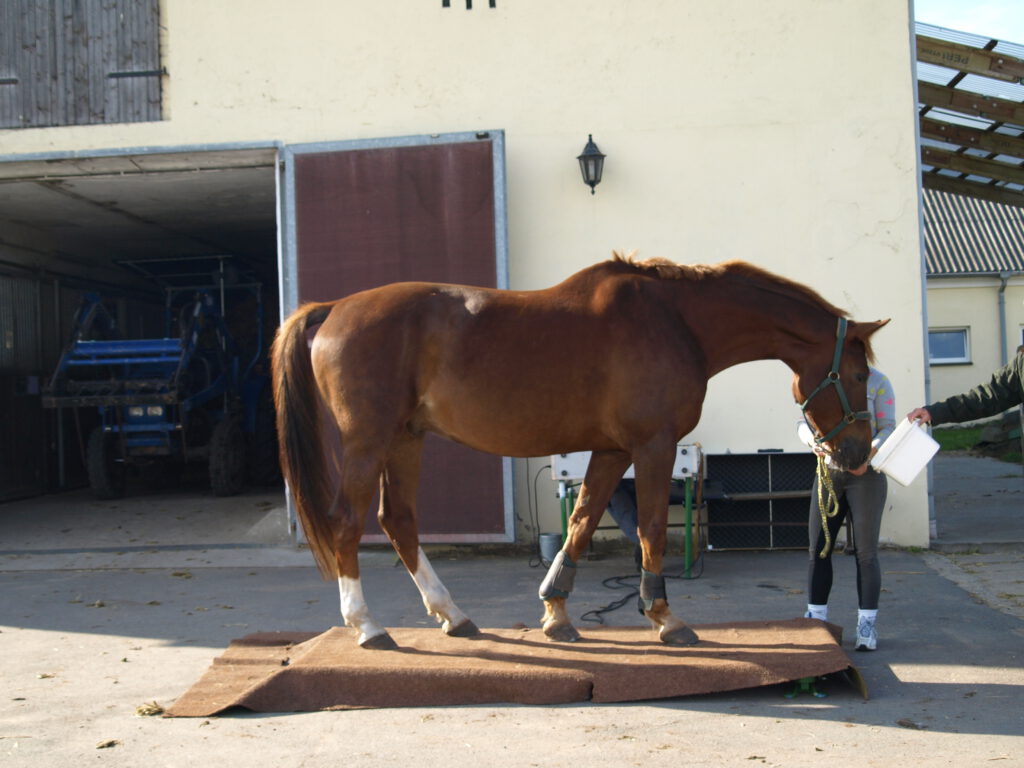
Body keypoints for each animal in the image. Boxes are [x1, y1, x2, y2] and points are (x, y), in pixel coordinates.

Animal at [272, 257, 888, 651]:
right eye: (858, 375)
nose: (858, 452)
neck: (677, 321)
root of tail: (334, 309)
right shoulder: (653, 445)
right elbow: (649, 529)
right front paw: (664, 618)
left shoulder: (613, 449)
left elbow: (583, 520)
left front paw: (556, 613)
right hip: (368, 440)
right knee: (347, 523)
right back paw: (368, 627)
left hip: (405, 438)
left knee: (398, 520)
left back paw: (454, 616)